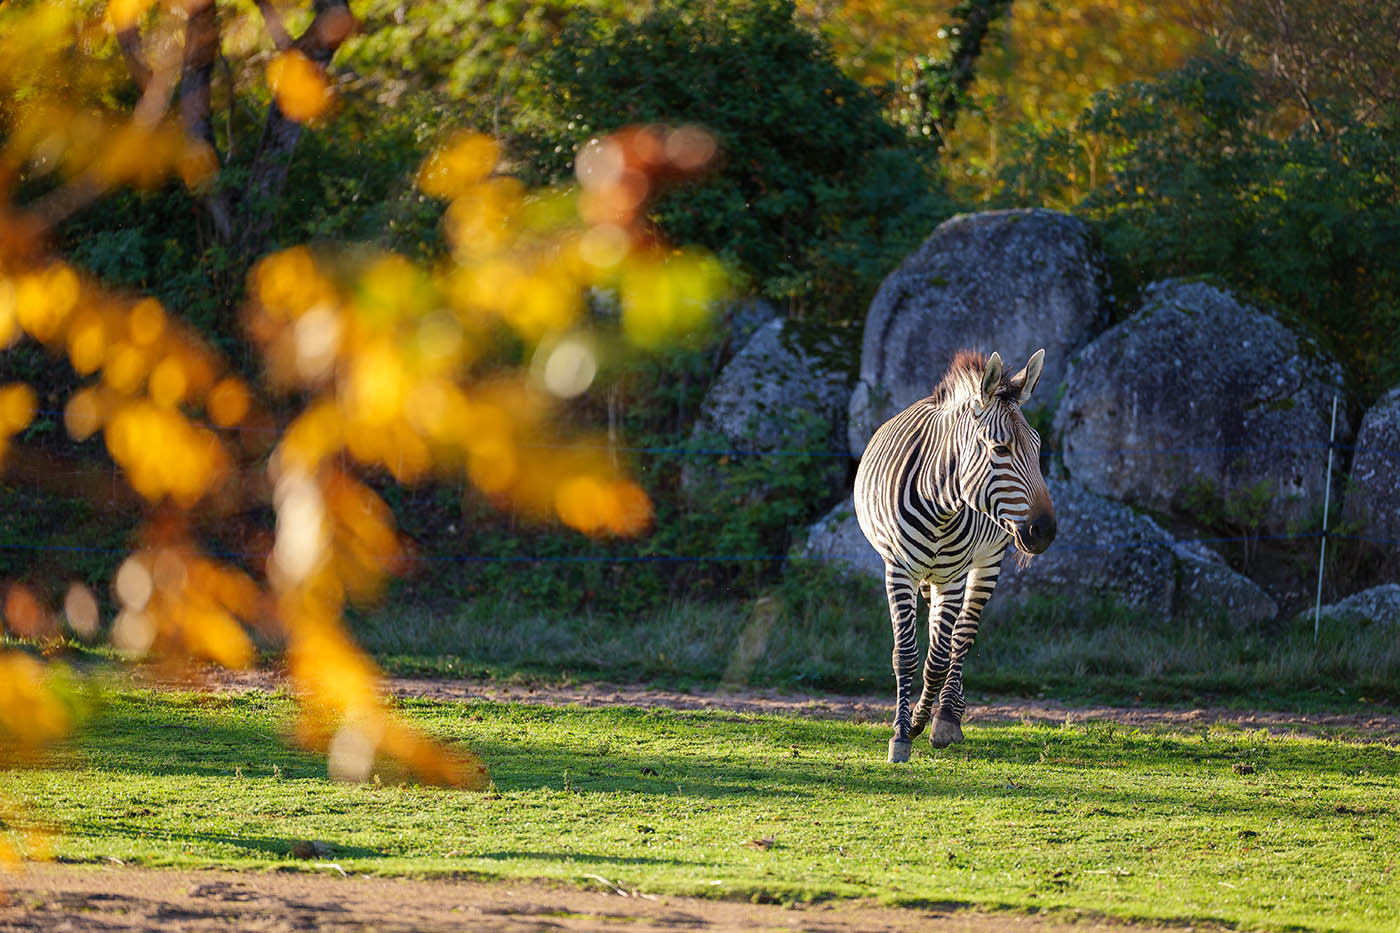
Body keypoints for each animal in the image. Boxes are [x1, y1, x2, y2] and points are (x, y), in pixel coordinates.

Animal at [845, 344, 1052, 762]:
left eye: (1038, 447)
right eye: (1000, 449)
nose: (1045, 531)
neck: (939, 501)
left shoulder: (954, 576)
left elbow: (939, 658)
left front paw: (922, 721)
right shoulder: (899, 570)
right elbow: (905, 654)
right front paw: (901, 734)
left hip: (986, 560)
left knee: (962, 635)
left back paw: (947, 717)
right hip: (927, 575)